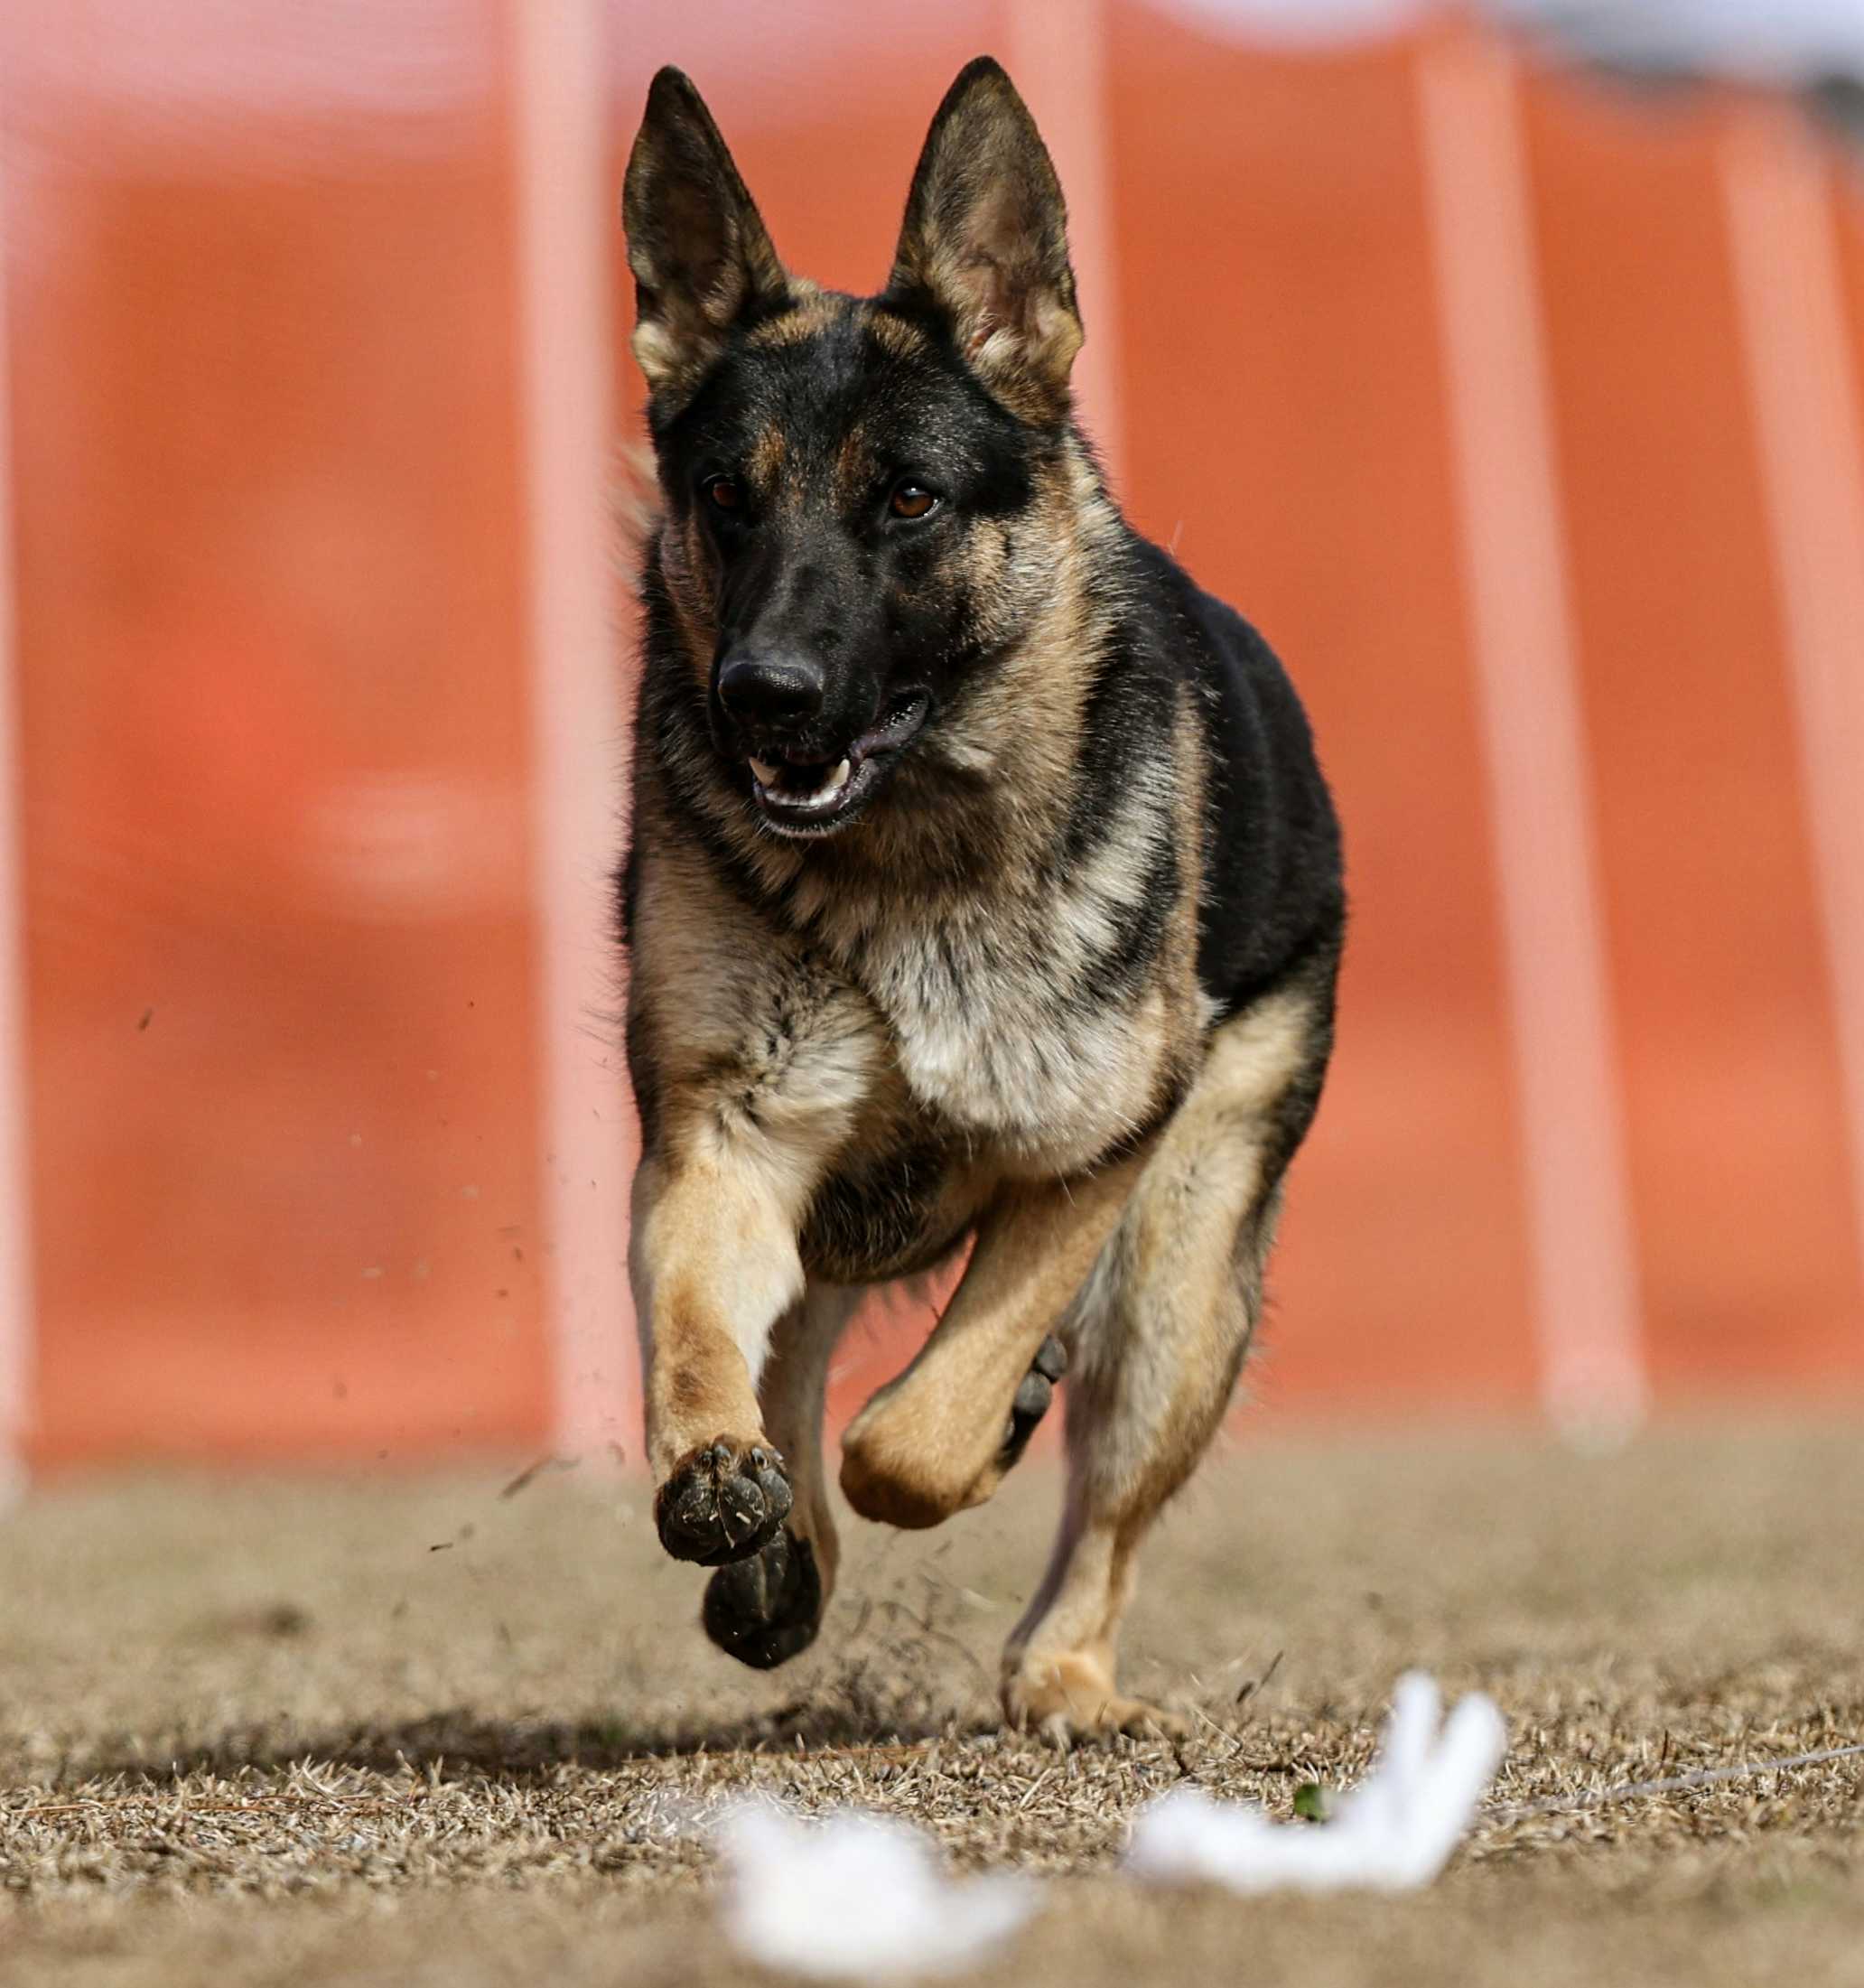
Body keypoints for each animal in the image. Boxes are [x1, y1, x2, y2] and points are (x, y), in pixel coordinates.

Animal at [620, 54, 1335, 1733]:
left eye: (907, 502)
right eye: (726, 499)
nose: (762, 698)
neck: (908, 863)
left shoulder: (1094, 1150)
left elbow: (915, 1438)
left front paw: (976, 1423)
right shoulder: (719, 1140)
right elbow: (703, 1342)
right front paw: (721, 1479)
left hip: (1179, 1279)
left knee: (1101, 1501)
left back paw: (1061, 1668)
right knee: (795, 1347)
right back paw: (778, 1548)